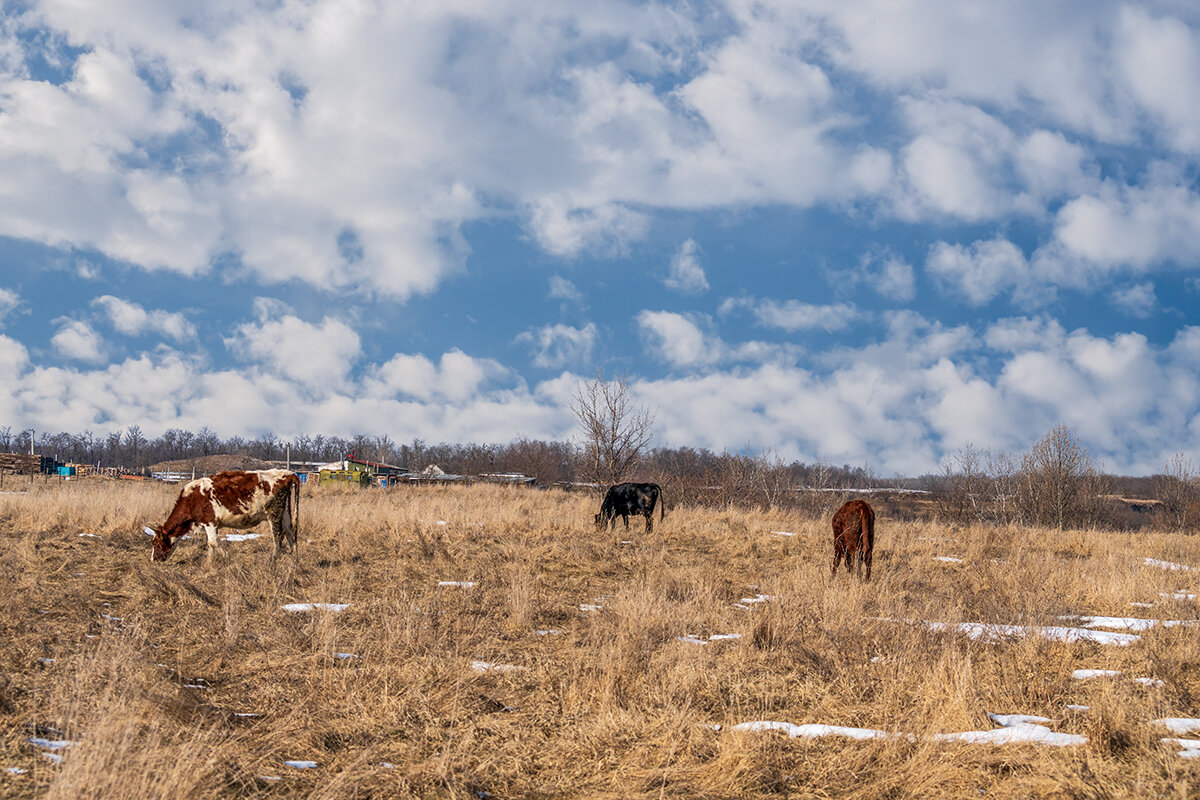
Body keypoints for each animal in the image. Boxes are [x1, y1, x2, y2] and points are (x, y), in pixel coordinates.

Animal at [149, 470, 300, 563]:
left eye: (156, 543)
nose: (152, 560)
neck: (191, 498)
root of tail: (286, 473)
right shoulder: (211, 524)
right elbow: (210, 543)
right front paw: (209, 564)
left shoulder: (209, 521)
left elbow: (214, 542)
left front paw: (227, 558)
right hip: (285, 513)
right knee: (290, 533)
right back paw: (294, 559)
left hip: (273, 513)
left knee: (278, 535)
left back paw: (273, 558)